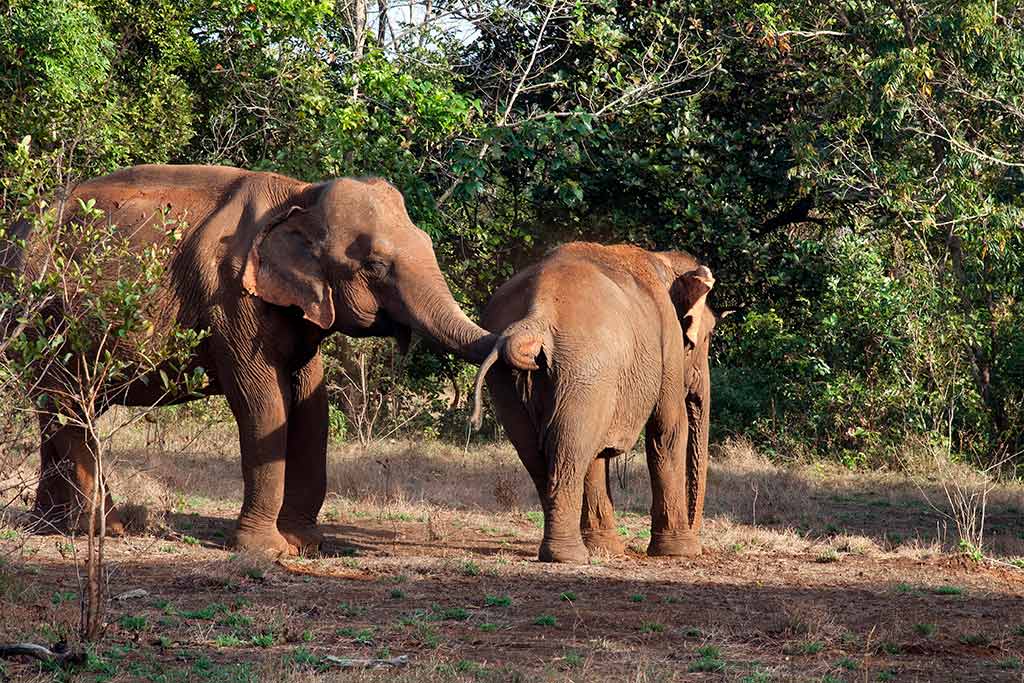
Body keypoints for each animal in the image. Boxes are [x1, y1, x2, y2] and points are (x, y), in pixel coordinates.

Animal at [12, 163, 495, 557]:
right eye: (374, 265)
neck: (300, 193)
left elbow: (312, 406)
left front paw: (307, 544)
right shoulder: (231, 299)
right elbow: (262, 402)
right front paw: (267, 551)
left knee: (55, 410)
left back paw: (49, 526)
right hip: (44, 320)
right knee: (67, 404)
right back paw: (103, 529)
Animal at [468, 242, 712, 565]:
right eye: (706, 338)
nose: (699, 542)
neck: (663, 260)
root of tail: (535, 317)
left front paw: (605, 548)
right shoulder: (668, 342)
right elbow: (668, 430)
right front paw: (679, 551)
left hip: (514, 382)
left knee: (541, 452)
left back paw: (566, 549)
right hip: (585, 368)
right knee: (571, 449)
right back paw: (568, 555)